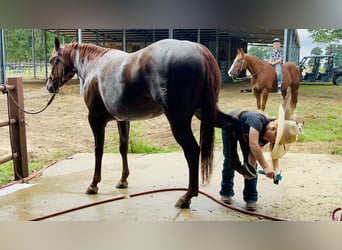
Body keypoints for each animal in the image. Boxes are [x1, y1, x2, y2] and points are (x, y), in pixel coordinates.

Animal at [45, 37, 239, 209]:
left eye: (53, 60)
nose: (50, 86)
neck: (95, 66)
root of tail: (199, 49)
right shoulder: (123, 119)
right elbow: (123, 148)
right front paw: (123, 180)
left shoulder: (95, 118)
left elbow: (98, 150)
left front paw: (93, 185)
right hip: (205, 112)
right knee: (233, 125)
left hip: (179, 120)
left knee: (192, 151)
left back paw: (186, 198)